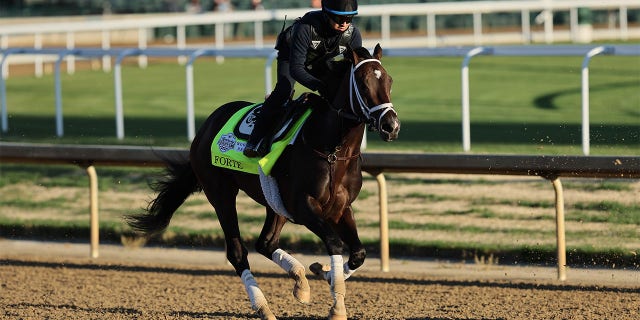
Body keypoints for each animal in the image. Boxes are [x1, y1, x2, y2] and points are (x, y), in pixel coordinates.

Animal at [125, 44, 400, 320]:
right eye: (363, 84)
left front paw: (324, 273)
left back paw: (300, 282)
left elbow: (359, 253)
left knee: (265, 243)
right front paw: (336, 305)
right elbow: (334, 242)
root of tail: (206, 126)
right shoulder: (304, 206)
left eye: (389, 81)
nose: (391, 125)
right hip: (221, 193)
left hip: (274, 202)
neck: (332, 151)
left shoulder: (340, 208)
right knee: (237, 252)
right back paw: (263, 307)